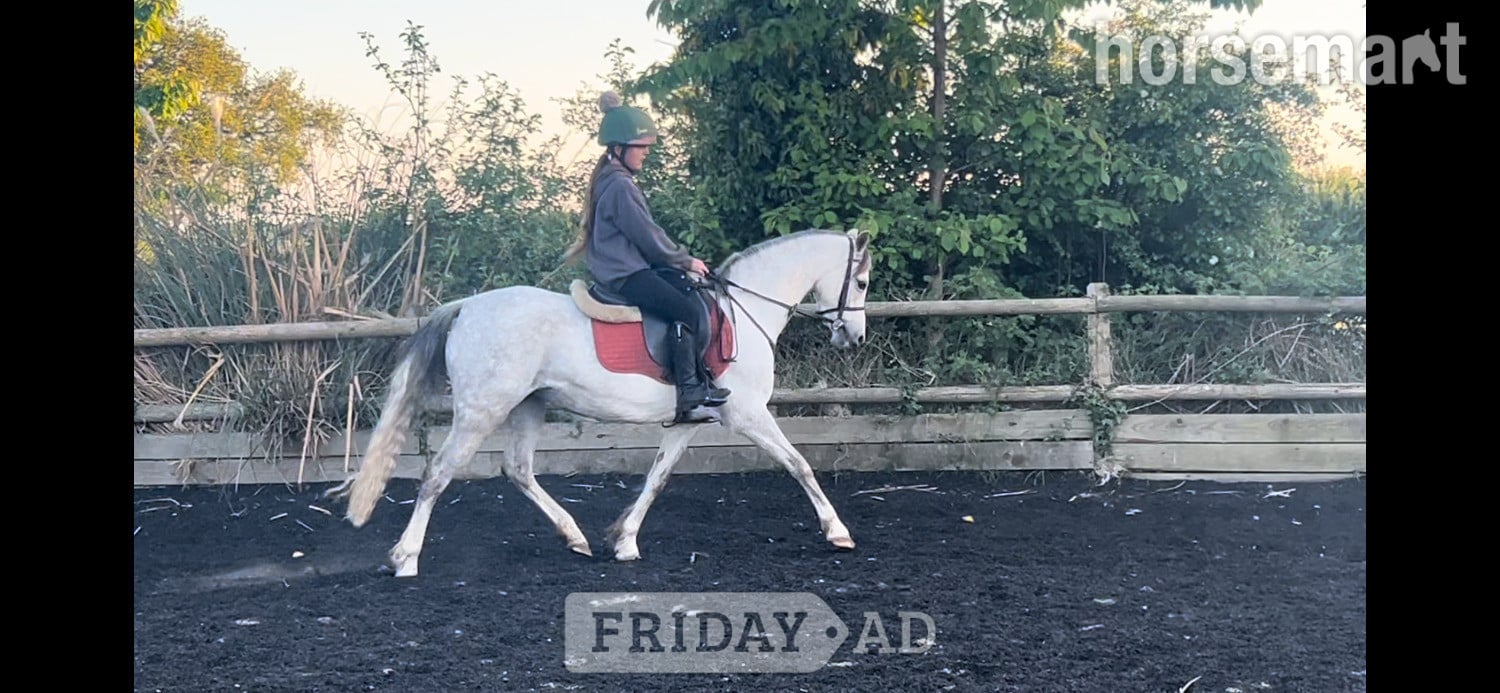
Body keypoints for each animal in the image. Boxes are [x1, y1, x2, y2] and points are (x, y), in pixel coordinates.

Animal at [327, 228, 874, 577]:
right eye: (863, 281)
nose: (855, 336)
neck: (742, 311)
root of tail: (466, 308)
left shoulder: (688, 421)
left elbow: (657, 478)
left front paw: (625, 540)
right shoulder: (747, 415)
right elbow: (799, 464)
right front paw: (838, 531)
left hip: (529, 406)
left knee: (518, 469)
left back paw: (576, 537)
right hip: (482, 412)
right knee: (438, 474)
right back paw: (406, 558)